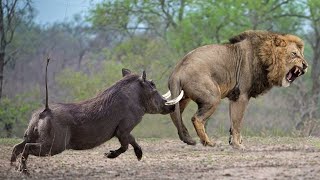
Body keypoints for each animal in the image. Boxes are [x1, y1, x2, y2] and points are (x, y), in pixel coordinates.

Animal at [164, 29, 308, 149]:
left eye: (302, 54)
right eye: (294, 54)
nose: (306, 65)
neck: (266, 59)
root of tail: (177, 70)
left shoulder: (234, 97)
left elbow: (233, 123)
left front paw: (234, 142)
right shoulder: (242, 96)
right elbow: (237, 123)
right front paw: (238, 145)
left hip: (183, 97)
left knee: (174, 114)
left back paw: (187, 139)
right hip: (213, 97)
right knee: (196, 118)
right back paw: (208, 142)